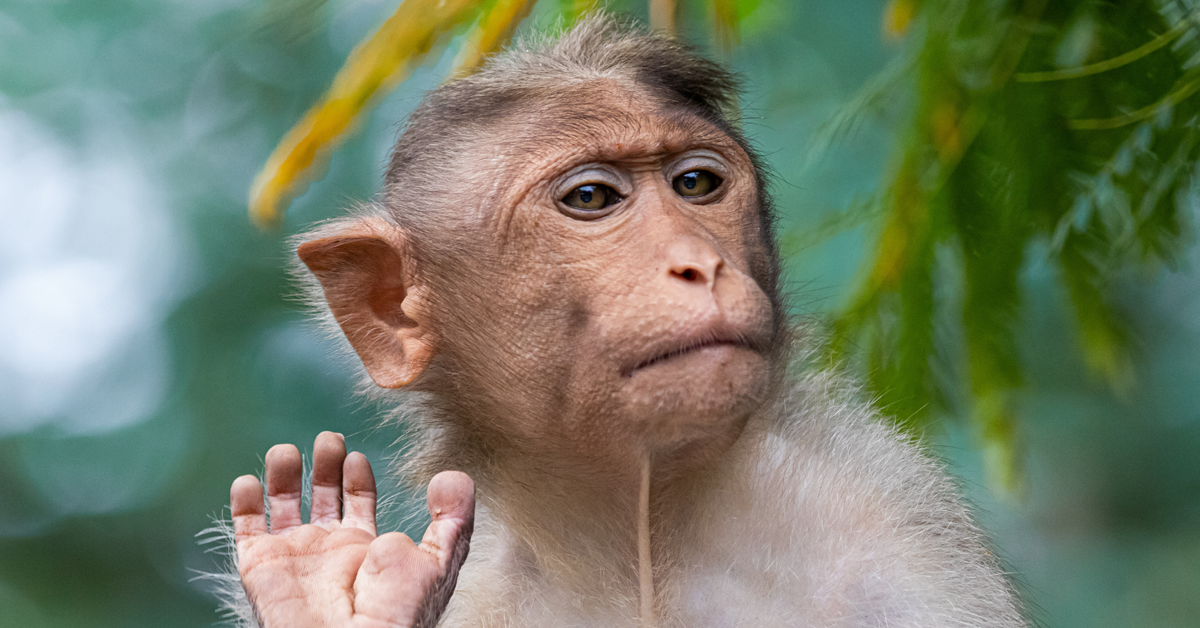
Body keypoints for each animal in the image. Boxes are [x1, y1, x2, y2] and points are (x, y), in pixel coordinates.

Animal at [218, 14, 1027, 628]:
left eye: (696, 183)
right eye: (591, 198)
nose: (699, 263)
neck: (638, 535)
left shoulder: (895, 533)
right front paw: (326, 588)